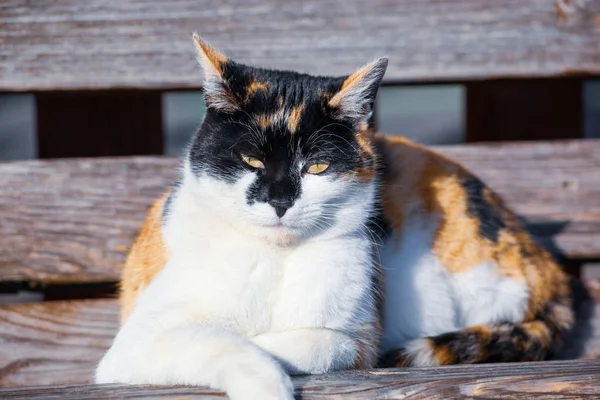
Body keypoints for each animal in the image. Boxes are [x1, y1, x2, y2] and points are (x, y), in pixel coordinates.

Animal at [96, 36, 576, 398]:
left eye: (318, 167)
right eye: (251, 160)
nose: (280, 200)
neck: (275, 260)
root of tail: (544, 261)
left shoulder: (358, 338)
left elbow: (319, 342)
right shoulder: (133, 346)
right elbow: (221, 342)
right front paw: (266, 383)